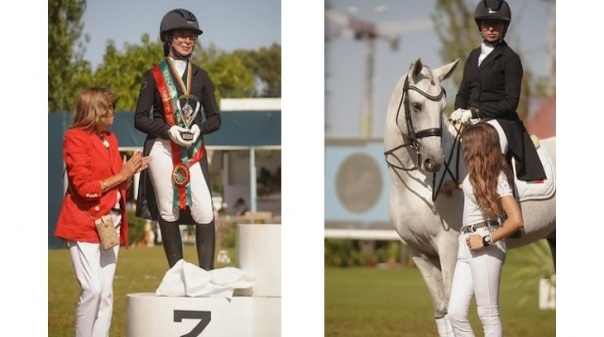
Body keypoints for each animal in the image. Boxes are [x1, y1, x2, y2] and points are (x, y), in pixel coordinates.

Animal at [384, 58, 556, 336]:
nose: (434, 161)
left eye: (441, 107)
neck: (414, 184)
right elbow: (442, 310)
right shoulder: (419, 252)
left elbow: (452, 303)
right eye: (417, 106)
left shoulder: (448, 246)